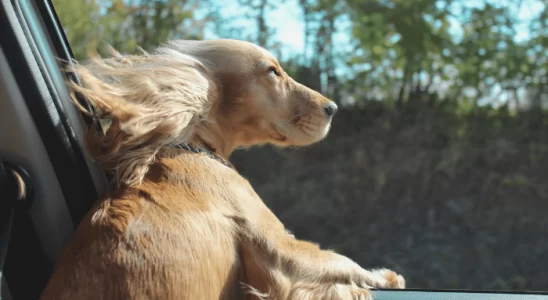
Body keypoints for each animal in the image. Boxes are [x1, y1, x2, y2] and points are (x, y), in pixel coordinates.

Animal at [40, 39, 404, 300]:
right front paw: (385, 277)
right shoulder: (279, 251)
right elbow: (339, 260)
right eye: (272, 71)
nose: (332, 108)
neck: (192, 146)